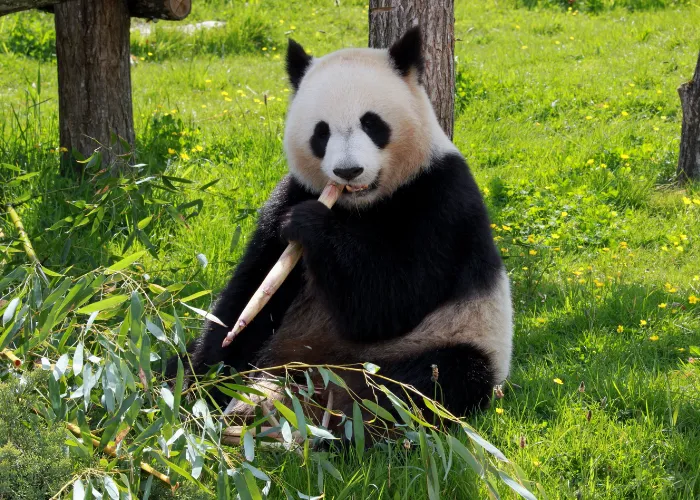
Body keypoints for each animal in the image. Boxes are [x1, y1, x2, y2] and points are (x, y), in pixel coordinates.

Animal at [178, 26, 512, 426]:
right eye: (321, 132)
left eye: (372, 123)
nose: (348, 171)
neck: (361, 205)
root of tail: (317, 374)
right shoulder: (292, 192)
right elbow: (251, 291)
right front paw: (205, 379)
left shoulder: (441, 198)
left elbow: (390, 301)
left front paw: (310, 223)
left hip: (450, 338)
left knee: (434, 382)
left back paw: (351, 422)